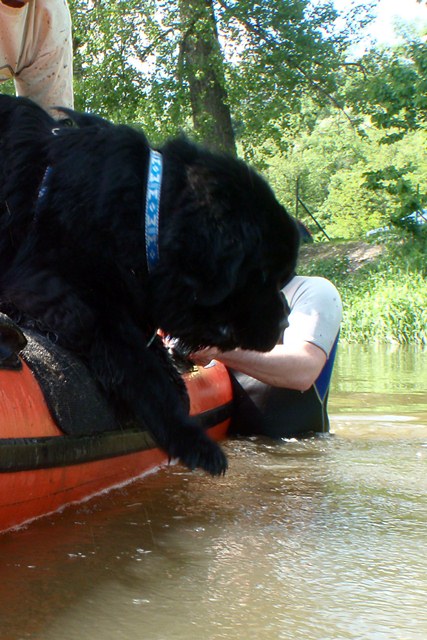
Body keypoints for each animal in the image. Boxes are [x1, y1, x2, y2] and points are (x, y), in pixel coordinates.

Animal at [0, 95, 300, 476]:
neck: (142, 211)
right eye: (262, 275)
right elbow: (131, 354)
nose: (286, 320)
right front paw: (190, 438)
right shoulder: (45, 283)